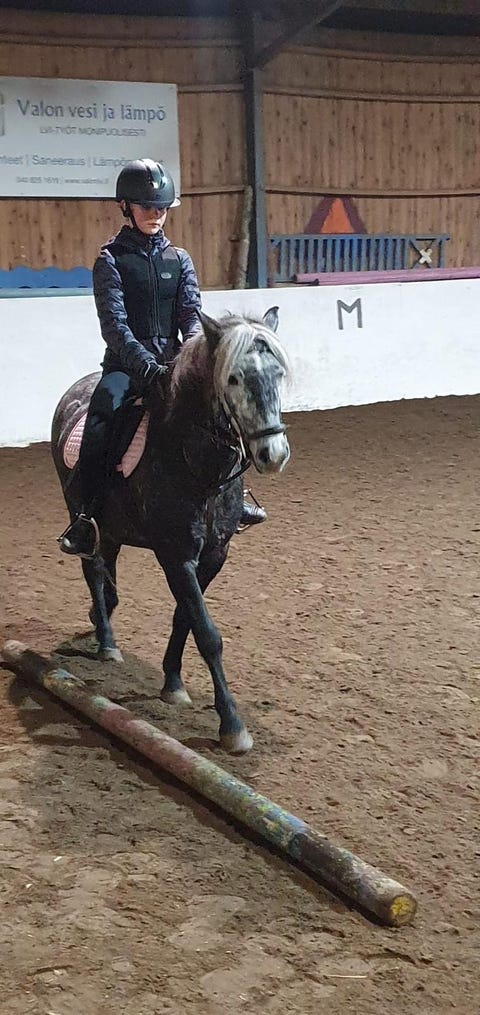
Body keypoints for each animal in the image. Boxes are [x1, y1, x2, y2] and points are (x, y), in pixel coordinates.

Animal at [51, 307, 290, 754]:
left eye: (278, 374)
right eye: (233, 378)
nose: (273, 454)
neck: (195, 464)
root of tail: (77, 389)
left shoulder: (213, 555)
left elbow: (186, 618)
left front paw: (173, 683)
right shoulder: (175, 556)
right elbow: (207, 633)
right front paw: (232, 726)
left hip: (111, 529)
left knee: (106, 571)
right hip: (80, 514)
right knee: (93, 569)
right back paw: (107, 644)